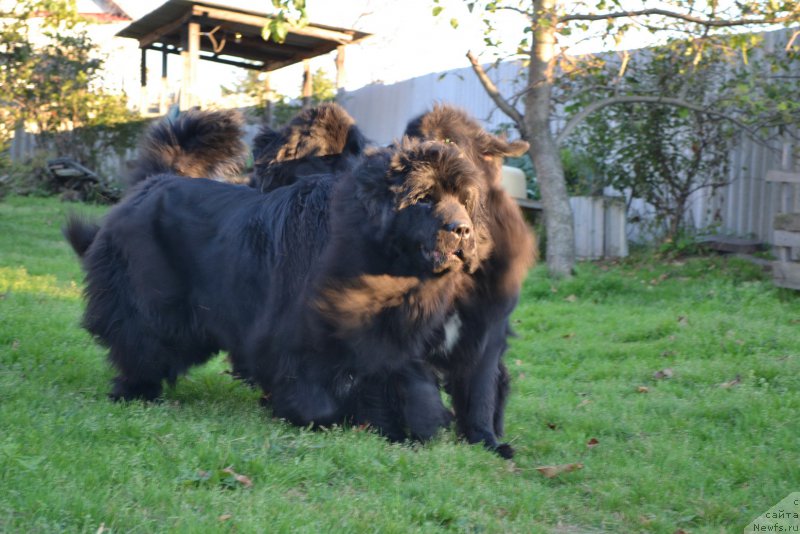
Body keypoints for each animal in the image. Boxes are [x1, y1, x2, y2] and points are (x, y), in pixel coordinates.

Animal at [64, 110, 488, 444]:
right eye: (423, 199)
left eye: (464, 200)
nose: (463, 230)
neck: (384, 268)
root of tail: (151, 184)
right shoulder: (297, 338)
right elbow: (313, 394)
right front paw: (314, 414)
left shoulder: (388, 340)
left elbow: (410, 388)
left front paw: (409, 425)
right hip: (153, 300)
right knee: (140, 339)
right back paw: (136, 390)